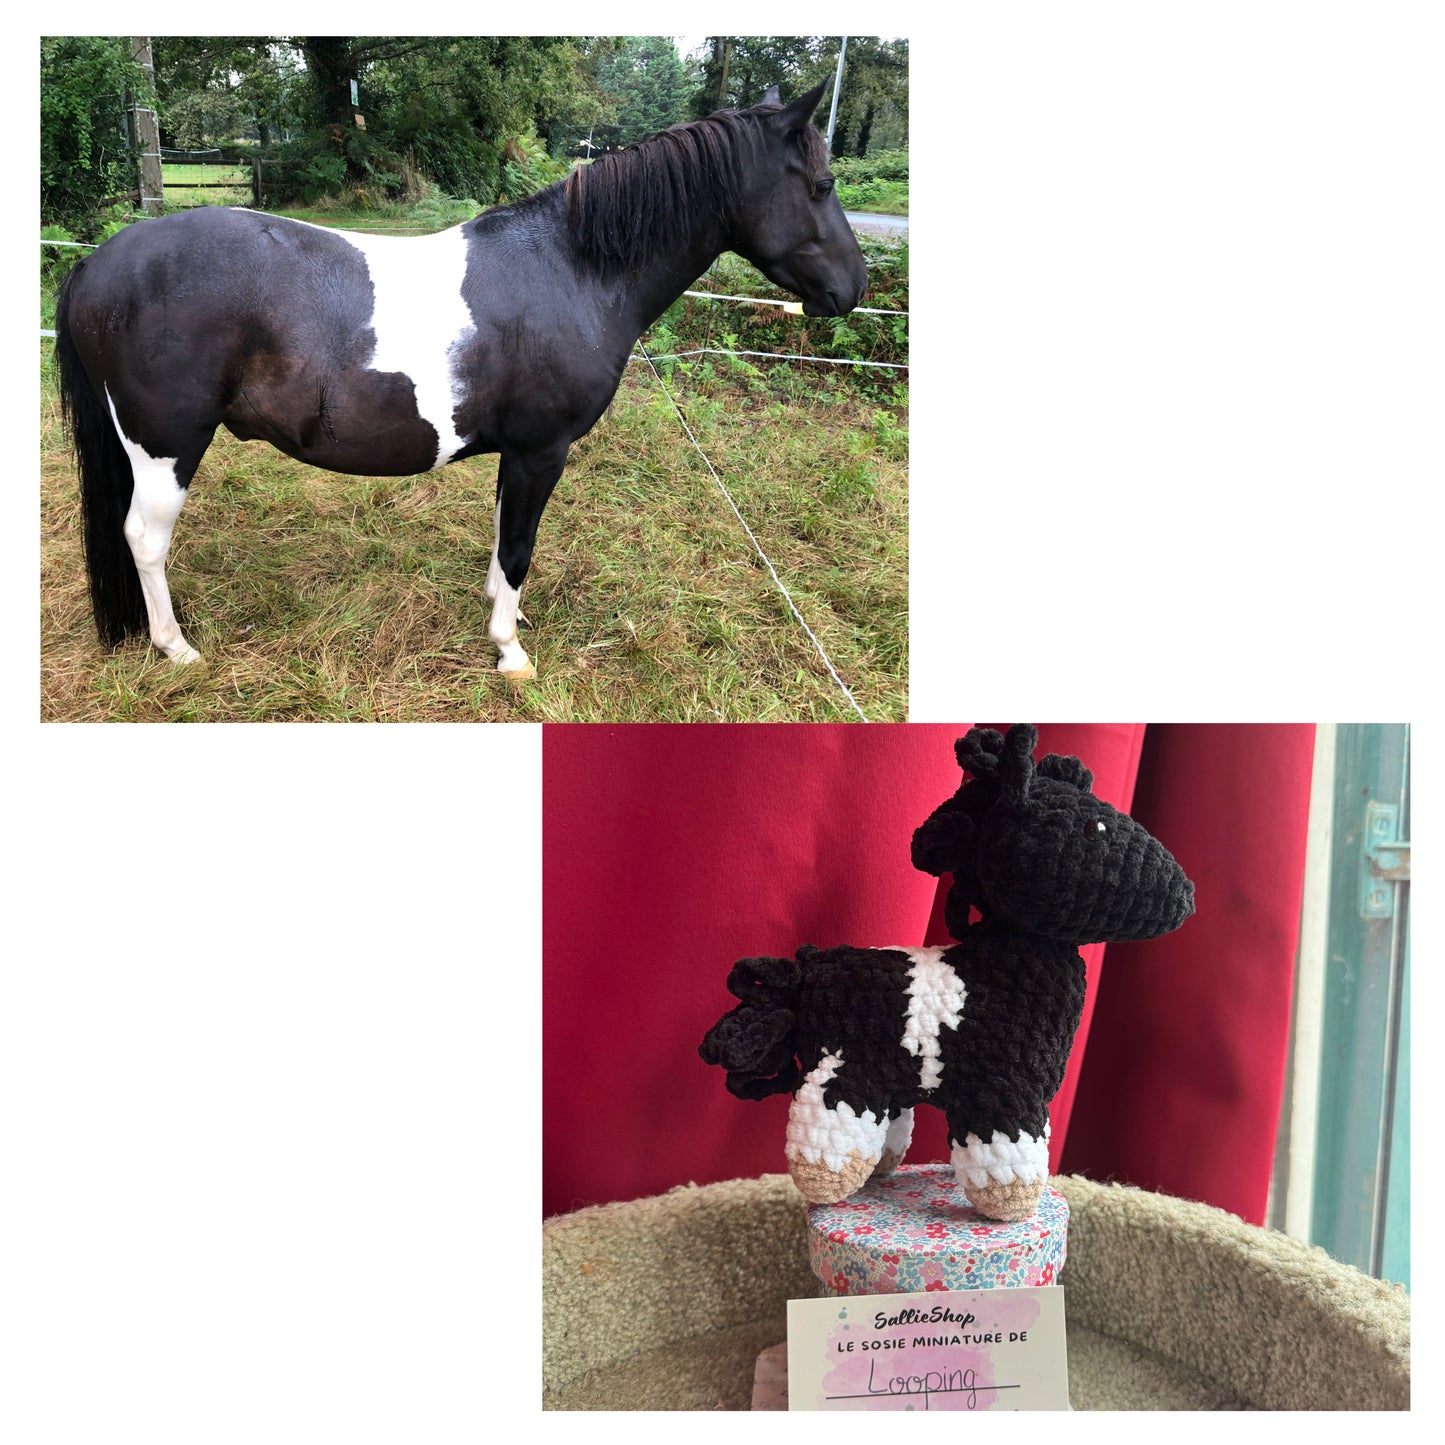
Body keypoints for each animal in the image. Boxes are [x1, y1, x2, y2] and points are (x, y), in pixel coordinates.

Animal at [53, 81, 868, 681]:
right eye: (821, 183)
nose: (852, 289)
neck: (575, 269)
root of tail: (97, 263)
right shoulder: (542, 451)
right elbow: (519, 546)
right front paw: (510, 651)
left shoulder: (518, 454)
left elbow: (504, 538)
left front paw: (504, 615)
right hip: (166, 446)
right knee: (144, 538)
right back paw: (176, 648)